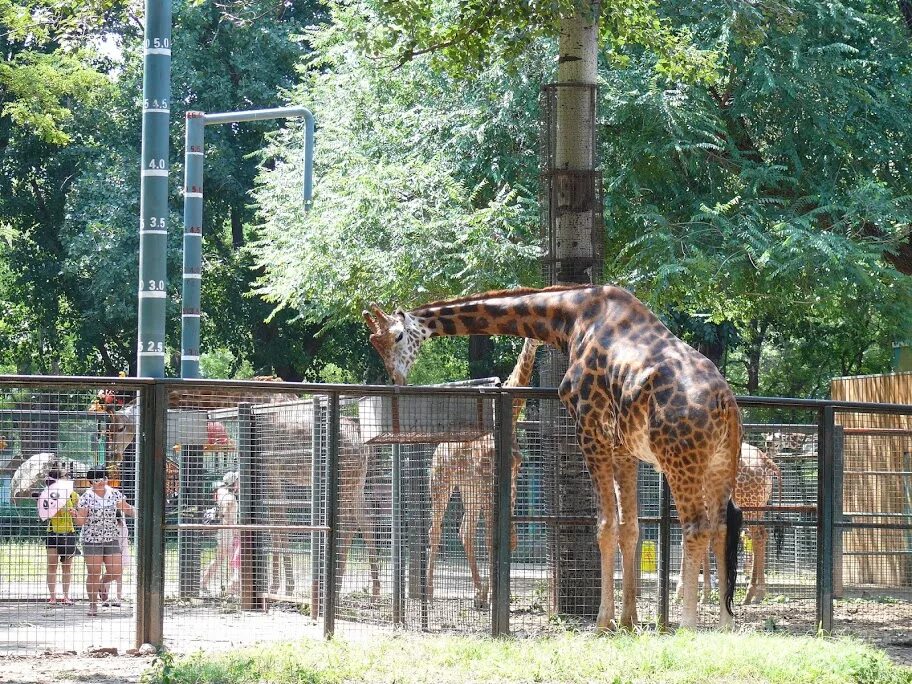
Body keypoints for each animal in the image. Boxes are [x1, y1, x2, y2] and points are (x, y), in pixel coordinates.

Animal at [428, 336, 540, 608]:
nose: (538, 342)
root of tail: (438, 448)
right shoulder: (491, 479)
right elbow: (491, 538)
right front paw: (490, 597)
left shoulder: (512, 477)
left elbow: (509, 538)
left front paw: (489, 596)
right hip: (442, 483)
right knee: (435, 530)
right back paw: (429, 592)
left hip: (471, 490)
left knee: (464, 530)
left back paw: (477, 591)